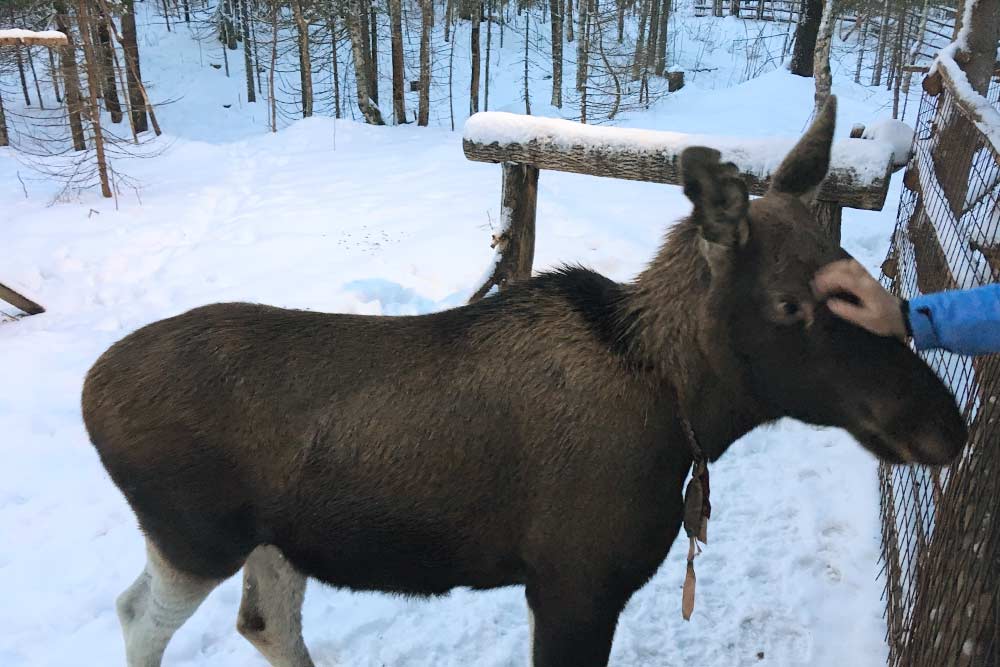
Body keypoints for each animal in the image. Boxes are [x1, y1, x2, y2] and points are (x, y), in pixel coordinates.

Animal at [88, 98, 968, 667]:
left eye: (853, 274)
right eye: (789, 302)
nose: (945, 423)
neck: (688, 419)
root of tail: (88, 391)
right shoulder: (575, 583)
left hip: (275, 539)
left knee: (264, 622)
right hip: (194, 536)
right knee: (137, 617)